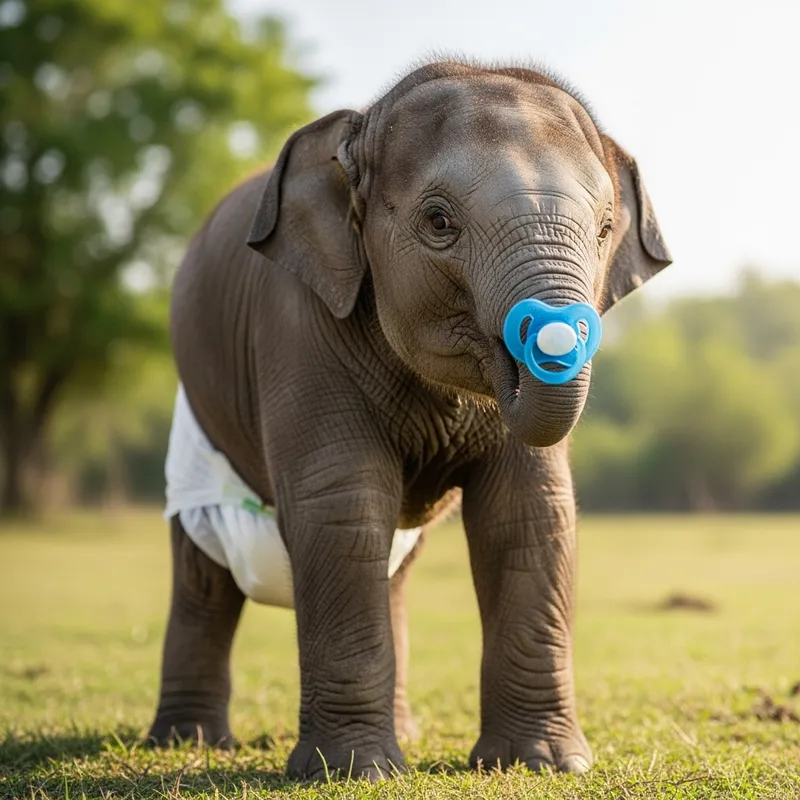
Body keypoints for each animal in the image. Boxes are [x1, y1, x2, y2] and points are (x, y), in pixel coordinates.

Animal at [147, 60, 671, 780]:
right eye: (439, 220)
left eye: (601, 230)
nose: (551, 337)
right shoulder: (296, 320)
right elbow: (342, 502)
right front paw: (351, 773)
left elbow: (528, 511)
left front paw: (544, 764)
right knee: (205, 577)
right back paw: (187, 743)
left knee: (391, 573)